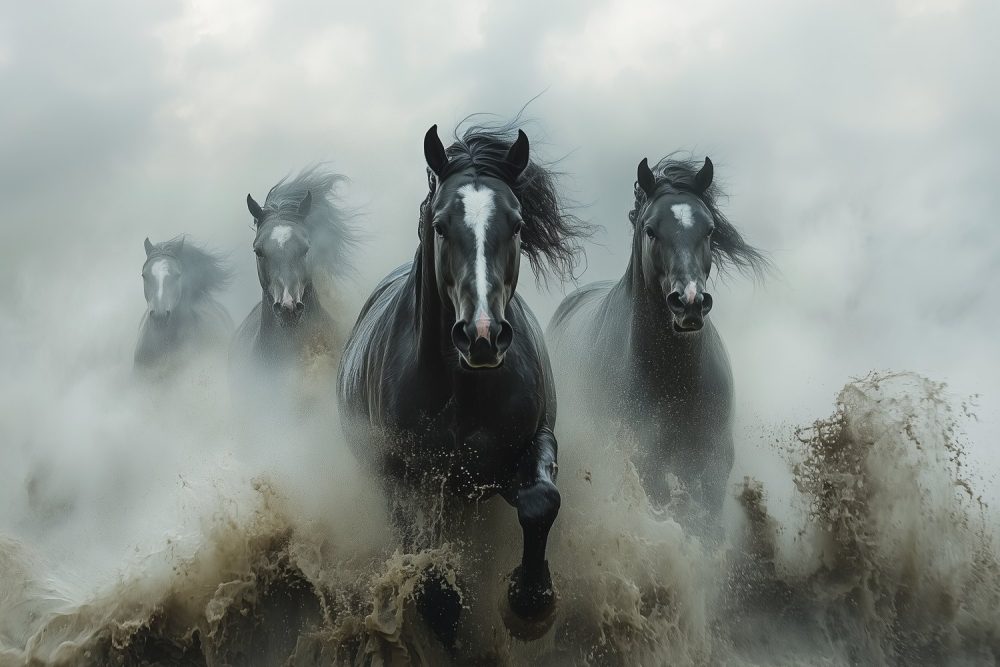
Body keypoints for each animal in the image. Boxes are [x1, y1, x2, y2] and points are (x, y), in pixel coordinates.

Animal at [337, 119, 590, 645]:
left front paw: (529, 603)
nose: (482, 335)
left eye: (516, 223)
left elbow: (541, 500)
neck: (465, 393)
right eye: (440, 225)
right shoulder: (405, 480)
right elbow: (432, 578)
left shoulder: (536, 438)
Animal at [547, 155, 769, 525]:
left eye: (709, 229)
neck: (675, 379)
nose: (690, 302)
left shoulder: (714, 462)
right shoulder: (647, 463)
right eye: (651, 230)